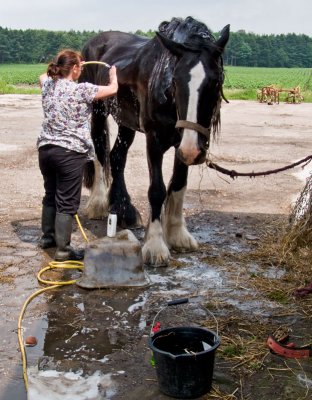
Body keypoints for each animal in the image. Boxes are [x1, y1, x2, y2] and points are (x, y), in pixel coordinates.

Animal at [79, 17, 230, 266]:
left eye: (216, 82)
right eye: (176, 81)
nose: (194, 150)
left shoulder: (182, 144)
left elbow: (178, 185)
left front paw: (178, 235)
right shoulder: (155, 140)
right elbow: (157, 190)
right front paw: (155, 246)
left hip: (127, 123)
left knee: (117, 157)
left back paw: (123, 210)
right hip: (98, 112)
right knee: (100, 154)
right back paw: (98, 204)